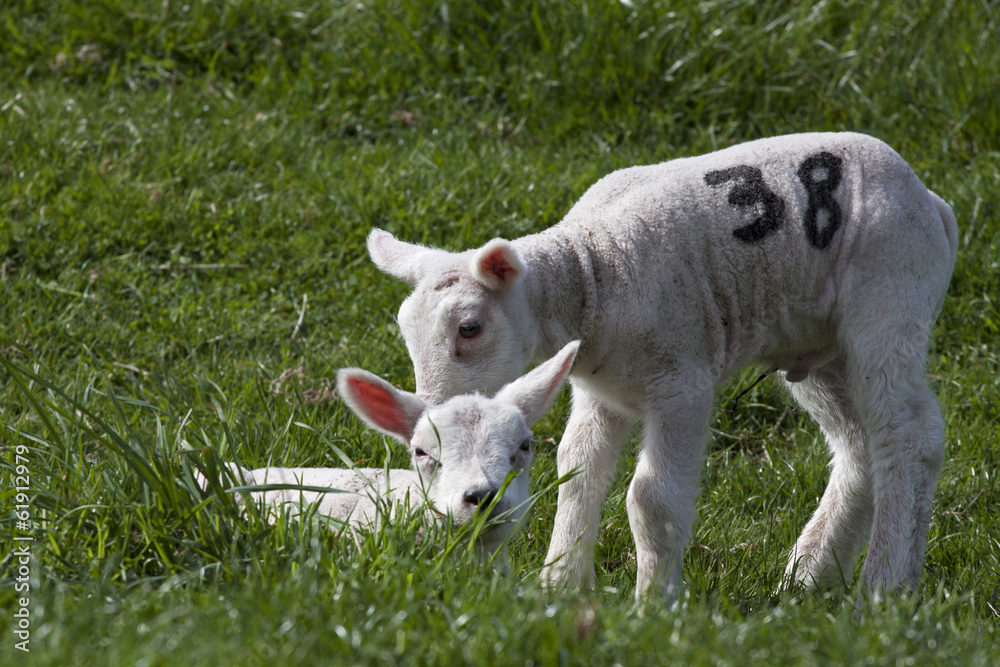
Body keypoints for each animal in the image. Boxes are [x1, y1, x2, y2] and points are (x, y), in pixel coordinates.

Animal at [366, 132, 959, 603]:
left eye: (469, 328)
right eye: (405, 330)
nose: (431, 422)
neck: (594, 272)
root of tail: (932, 202)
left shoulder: (682, 383)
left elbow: (650, 498)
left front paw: (654, 603)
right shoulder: (600, 390)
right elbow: (576, 472)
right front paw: (559, 586)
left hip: (891, 296)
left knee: (908, 436)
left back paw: (883, 588)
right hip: (818, 344)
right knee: (858, 445)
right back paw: (809, 578)